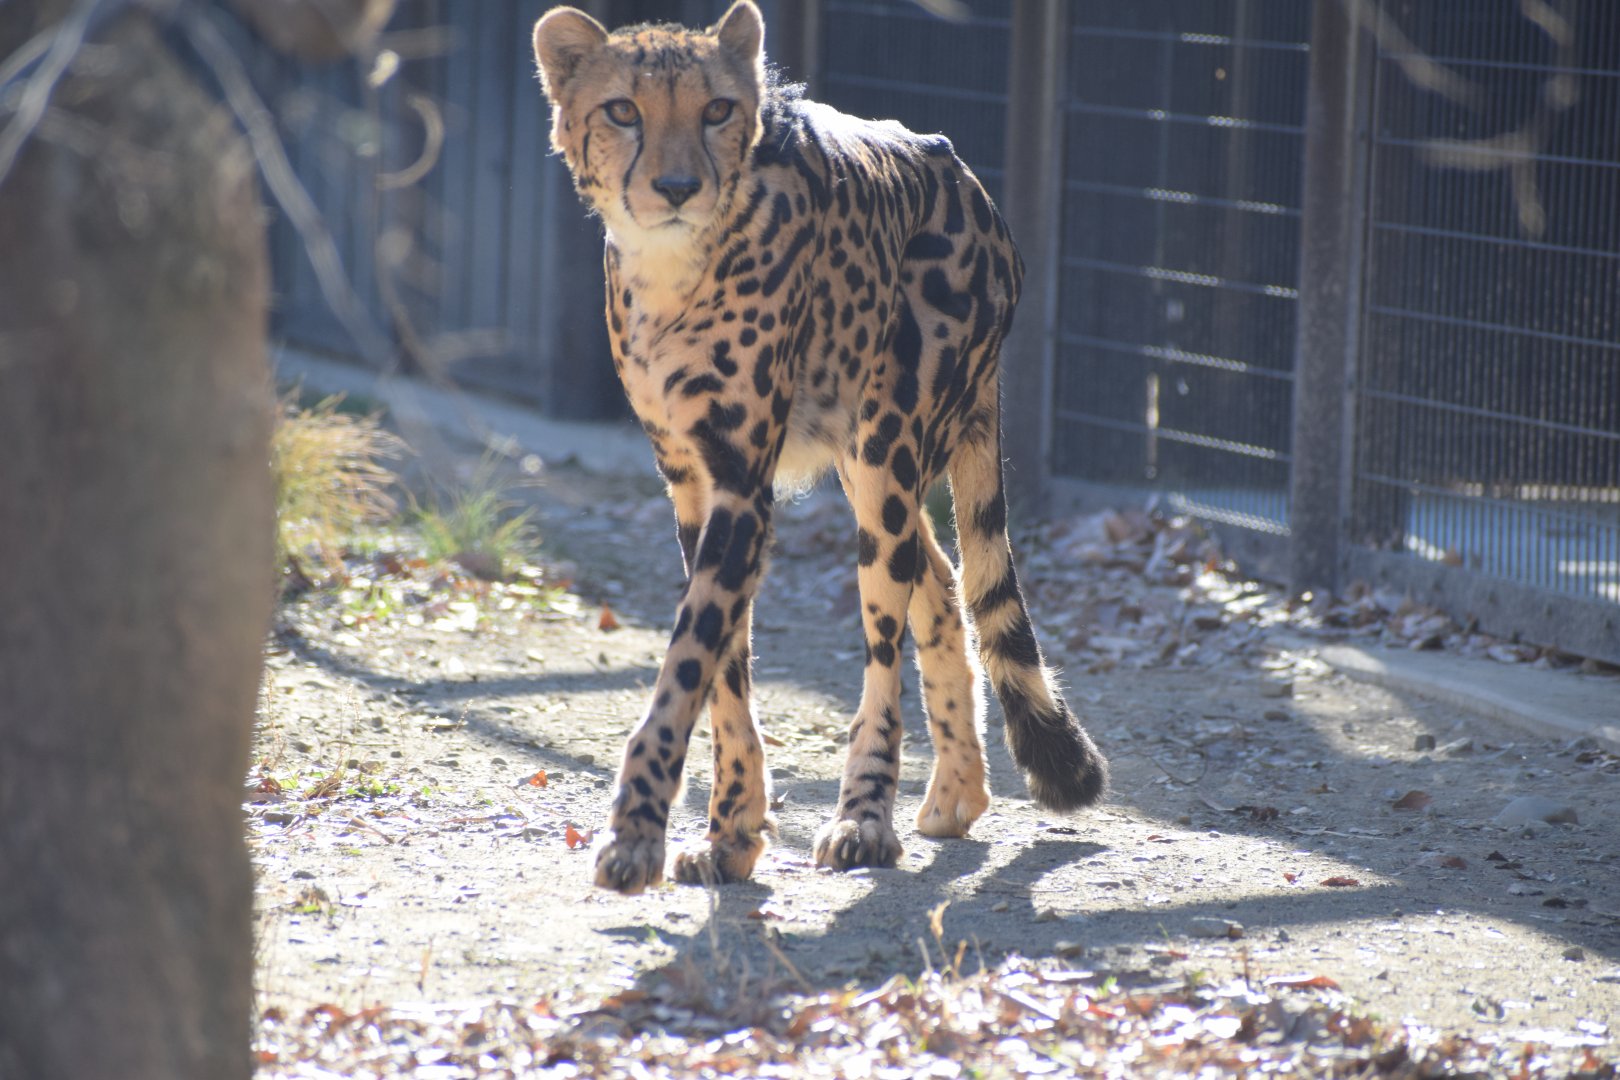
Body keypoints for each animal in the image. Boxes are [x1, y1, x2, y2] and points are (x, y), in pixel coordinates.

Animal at [532, 0, 1109, 894]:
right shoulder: (691, 479)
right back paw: (956, 791)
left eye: (718, 109)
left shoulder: (743, 480)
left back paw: (865, 816)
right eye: (622, 109)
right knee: (939, 580)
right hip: (871, 459)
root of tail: (965, 176)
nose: (676, 188)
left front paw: (637, 832)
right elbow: (724, 664)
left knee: (889, 629)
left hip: (885, 454)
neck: (674, 269)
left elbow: (687, 662)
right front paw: (732, 829)